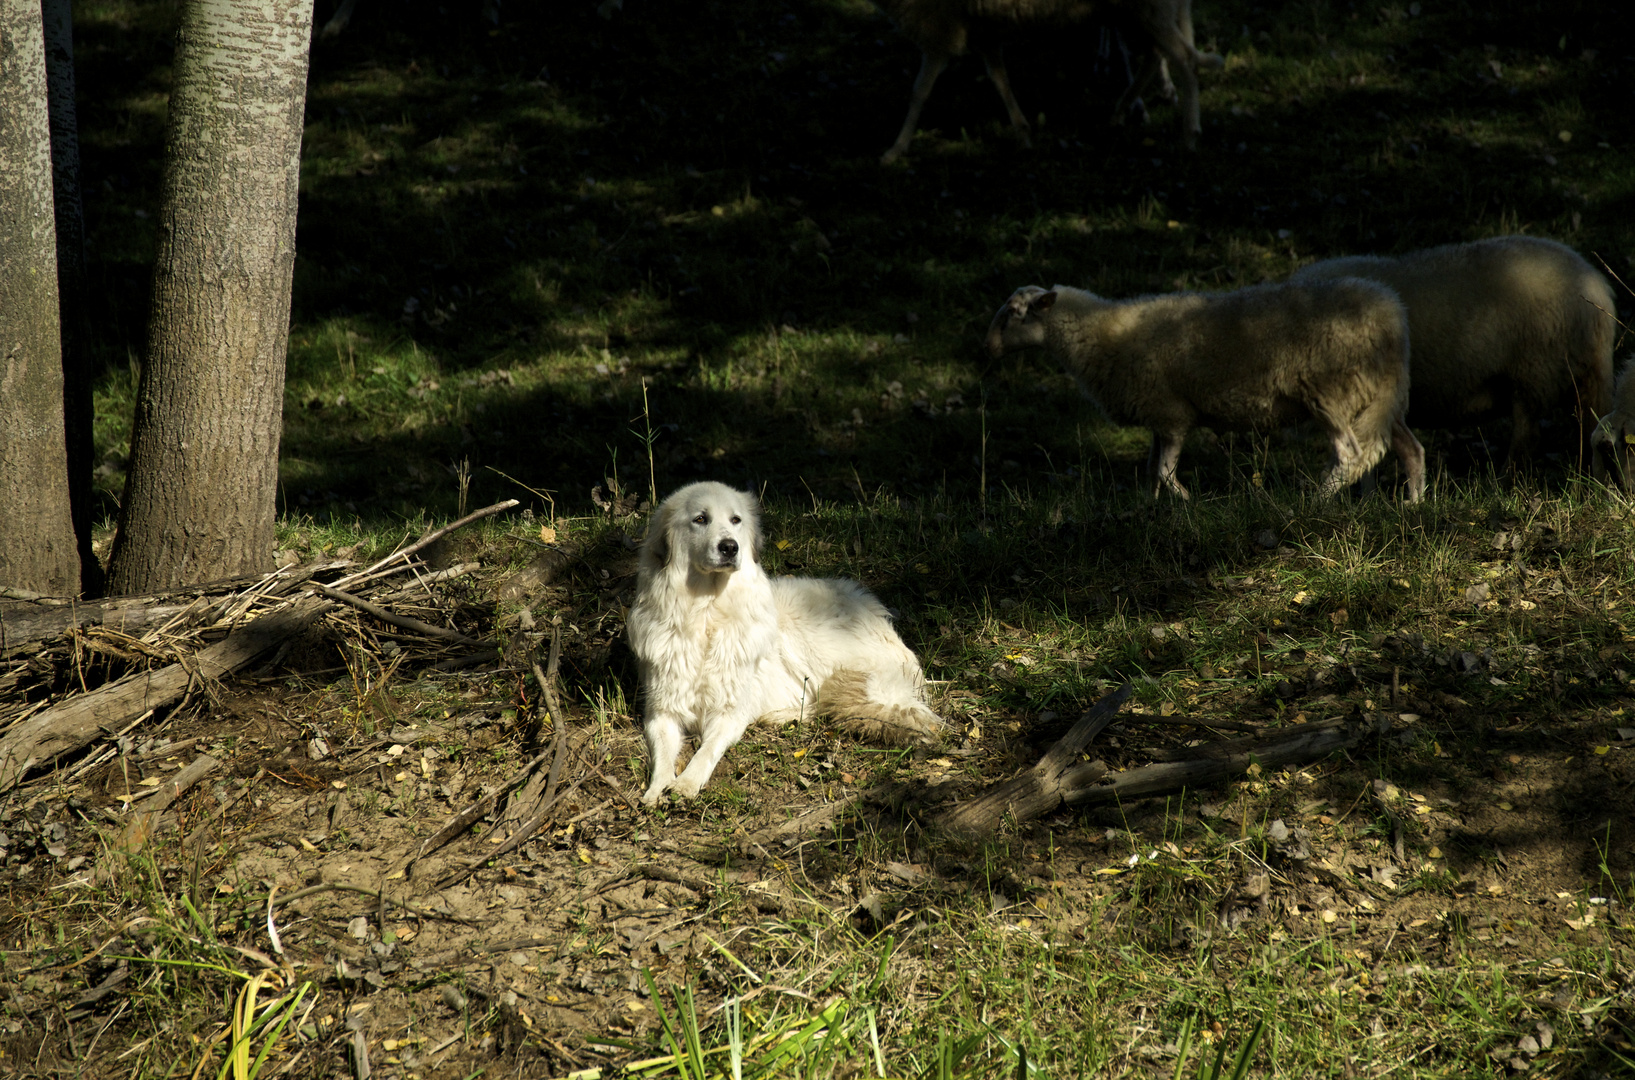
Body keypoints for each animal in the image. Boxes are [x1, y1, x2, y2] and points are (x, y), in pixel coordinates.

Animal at [631, 480, 954, 800]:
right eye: (700, 519)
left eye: (735, 520)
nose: (730, 547)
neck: (706, 614)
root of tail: (876, 612)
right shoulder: (661, 712)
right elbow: (662, 757)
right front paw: (657, 791)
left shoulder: (729, 714)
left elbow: (706, 752)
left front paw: (686, 784)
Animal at [876, 0, 1222, 164]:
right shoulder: (983, 28)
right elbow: (1000, 79)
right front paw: (1023, 132)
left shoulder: (938, 25)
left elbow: (919, 91)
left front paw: (896, 148)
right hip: (1143, 10)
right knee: (1155, 56)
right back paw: (1120, 111)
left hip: (1148, 9)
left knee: (1184, 60)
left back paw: (1189, 136)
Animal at [987, 276, 1425, 499]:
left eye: (1013, 313)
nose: (985, 347)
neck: (1101, 335)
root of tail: (1392, 314)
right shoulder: (1157, 419)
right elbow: (1151, 472)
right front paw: (1151, 512)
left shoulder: (1171, 413)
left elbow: (1164, 473)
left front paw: (1186, 504)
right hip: (1376, 394)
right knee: (1409, 448)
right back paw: (1413, 506)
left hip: (1332, 392)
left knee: (1349, 455)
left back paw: (1312, 502)